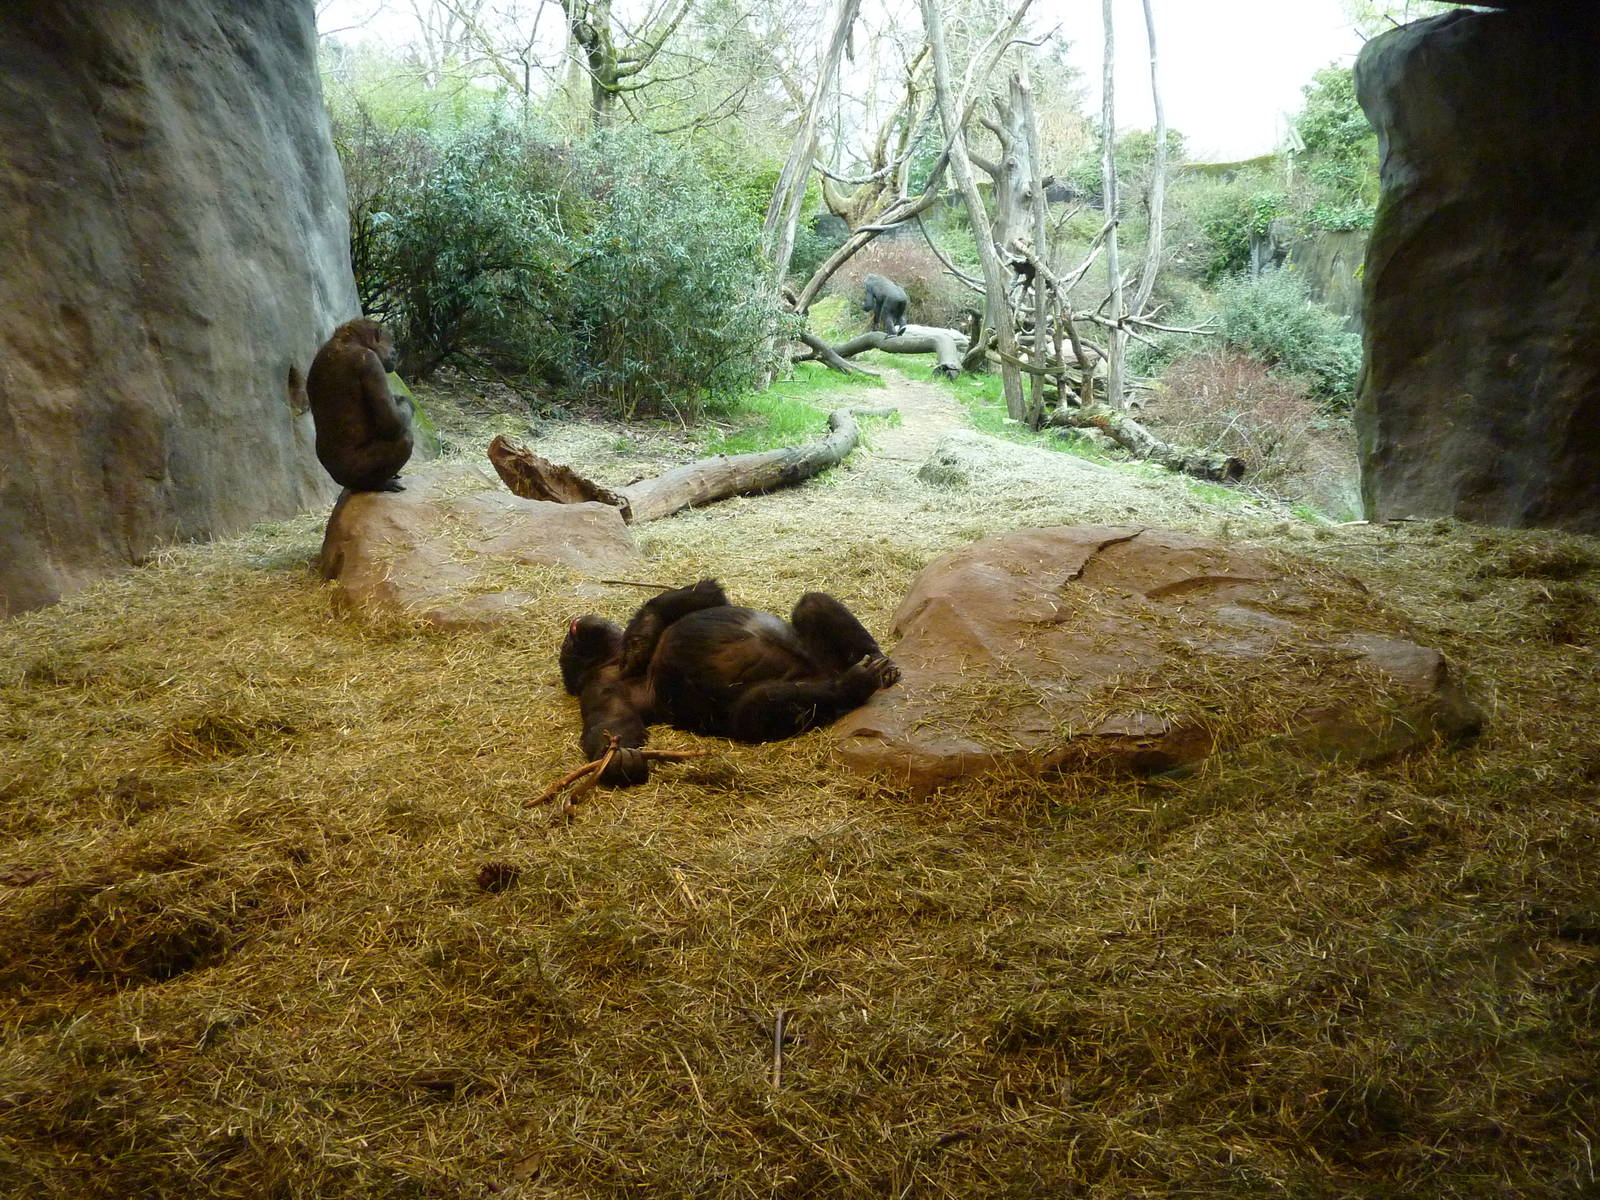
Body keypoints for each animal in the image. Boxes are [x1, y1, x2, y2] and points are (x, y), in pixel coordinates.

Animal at [306, 317, 413, 493]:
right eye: (392, 344)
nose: (395, 353)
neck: (349, 340)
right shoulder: (371, 362)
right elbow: (392, 422)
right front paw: (406, 402)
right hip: (354, 475)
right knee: (404, 438)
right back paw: (378, 484)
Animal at [560, 579, 901, 786]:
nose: (576, 624)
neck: (610, 660)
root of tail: (828, 671)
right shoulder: (601, 687)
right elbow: (611, 723)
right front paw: (618, 760)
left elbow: (697, 595)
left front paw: (640, 639)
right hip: (808, 684)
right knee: (758, 704)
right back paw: (853, 684)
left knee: (812, 604)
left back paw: (882, 664)